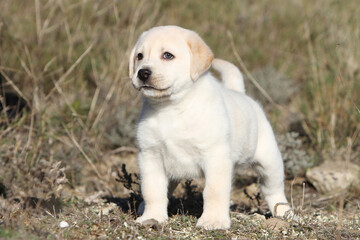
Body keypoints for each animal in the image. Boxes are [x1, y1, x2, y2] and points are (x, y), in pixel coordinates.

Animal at [128, 25, 292, 230]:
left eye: (167, 55)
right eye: (140, 56)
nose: (142, 73)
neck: (172, 107)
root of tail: (238, 92)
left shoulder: (215, 157)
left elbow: (214, 191)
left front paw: (213, 220)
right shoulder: (150, 156)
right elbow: (153, 190)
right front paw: (152, 216)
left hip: (269, 161)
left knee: (274, 189)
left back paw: (284, 212)